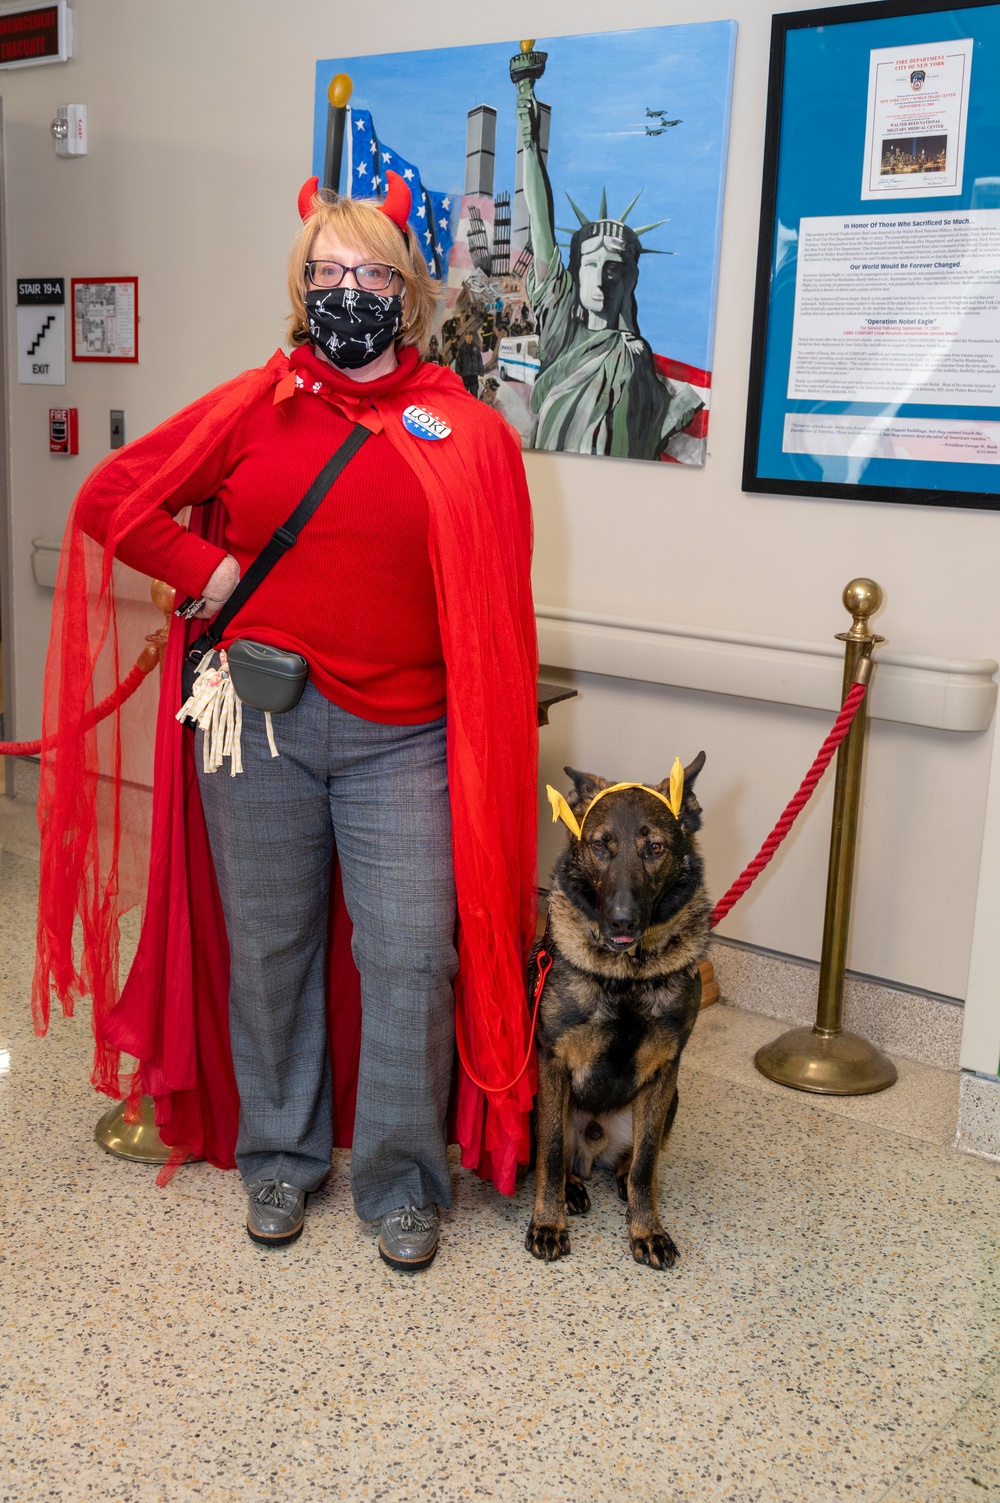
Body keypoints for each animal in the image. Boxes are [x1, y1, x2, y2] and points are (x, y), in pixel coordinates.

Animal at [523, 751, 709, 1268]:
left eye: (655, 848)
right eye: (601, 846)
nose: (622, 921)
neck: (626, 976)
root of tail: (594, 1144)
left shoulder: (665, 1069)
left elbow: (646, 1163)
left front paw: (646, 1229)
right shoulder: (552, 1063)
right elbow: (549, 1156)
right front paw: (547, 1223)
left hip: (669, 1100)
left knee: (637, 1160)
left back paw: (623, 1178)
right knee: (558, 1156)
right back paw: (570, 1188)